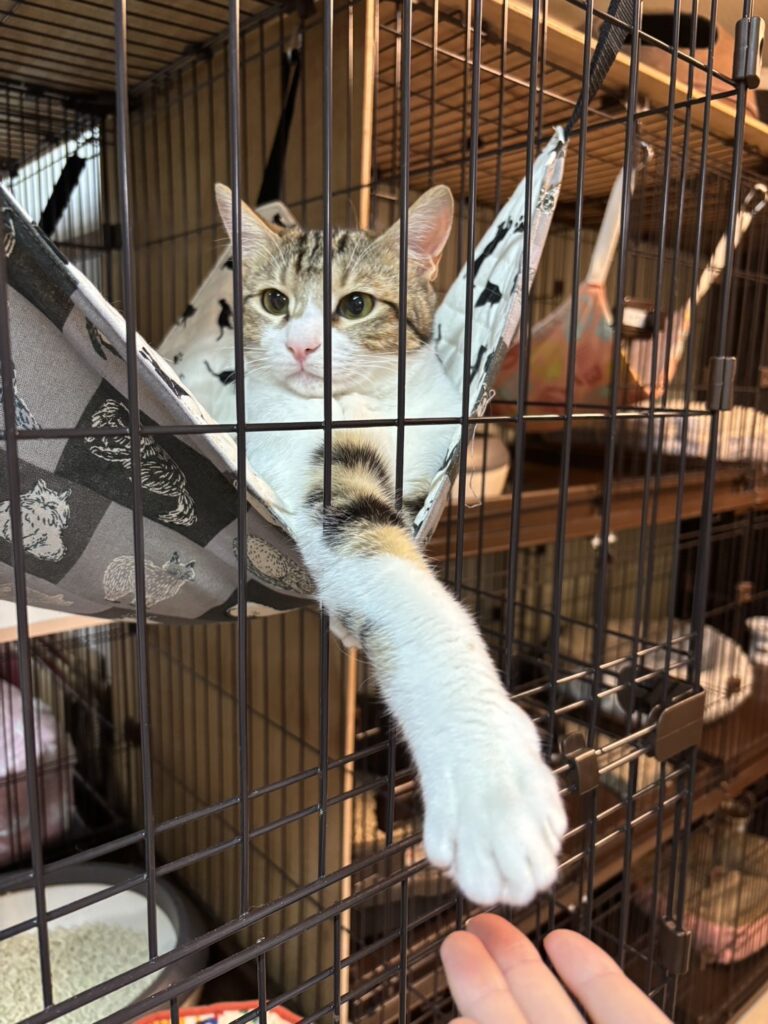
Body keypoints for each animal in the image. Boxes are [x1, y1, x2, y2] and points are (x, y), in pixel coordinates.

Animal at [214, 183, 567, 907]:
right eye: (274, 301)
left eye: (356, 305)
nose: (300, 347)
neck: (374, 407)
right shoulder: (313, 469)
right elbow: (394, 580)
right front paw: (492, 787)